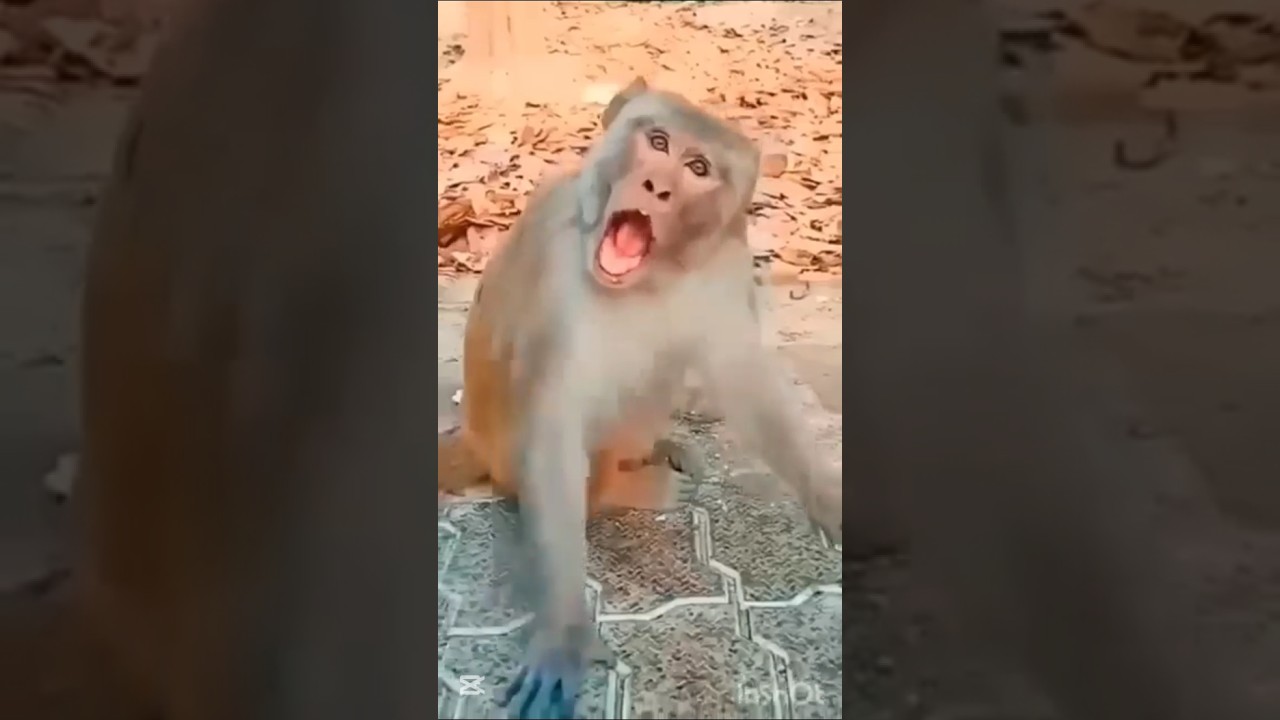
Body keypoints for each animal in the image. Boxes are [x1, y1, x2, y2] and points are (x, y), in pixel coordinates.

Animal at [435, 77, 841, 719]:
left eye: (697, 168)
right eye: (658, 143)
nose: (658, 187)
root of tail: (474, 436)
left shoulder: (725, 263)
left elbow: (743, 375)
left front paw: (825, 497)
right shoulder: (555, 258)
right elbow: (555, 424)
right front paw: (565, 634)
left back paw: (655, 451)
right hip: (509, 451)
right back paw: (624, 489)